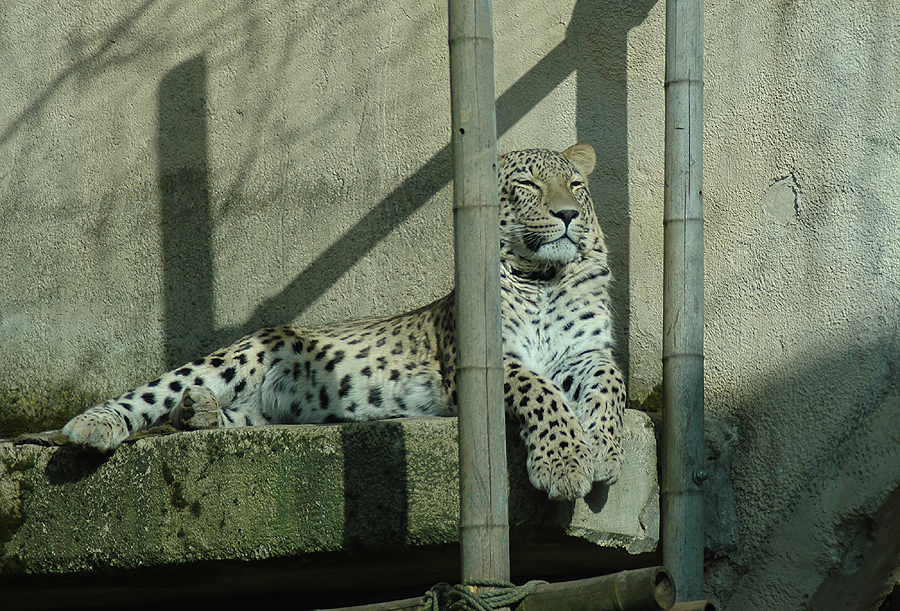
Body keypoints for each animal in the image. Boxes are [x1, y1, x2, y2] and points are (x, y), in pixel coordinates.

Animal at [61, 145, 624, 502]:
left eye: (576, 185)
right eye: (528, 184)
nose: (569, 214)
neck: (543, 278)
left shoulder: (588, 353)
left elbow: (609, 385)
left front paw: (605, 449)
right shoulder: (483, 359)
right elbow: (541, 392)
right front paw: (565, 463)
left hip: (270, 414)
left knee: (229, 416)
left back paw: (195, 412)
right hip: (244, 353)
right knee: (158, 390)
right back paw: (95, 425)